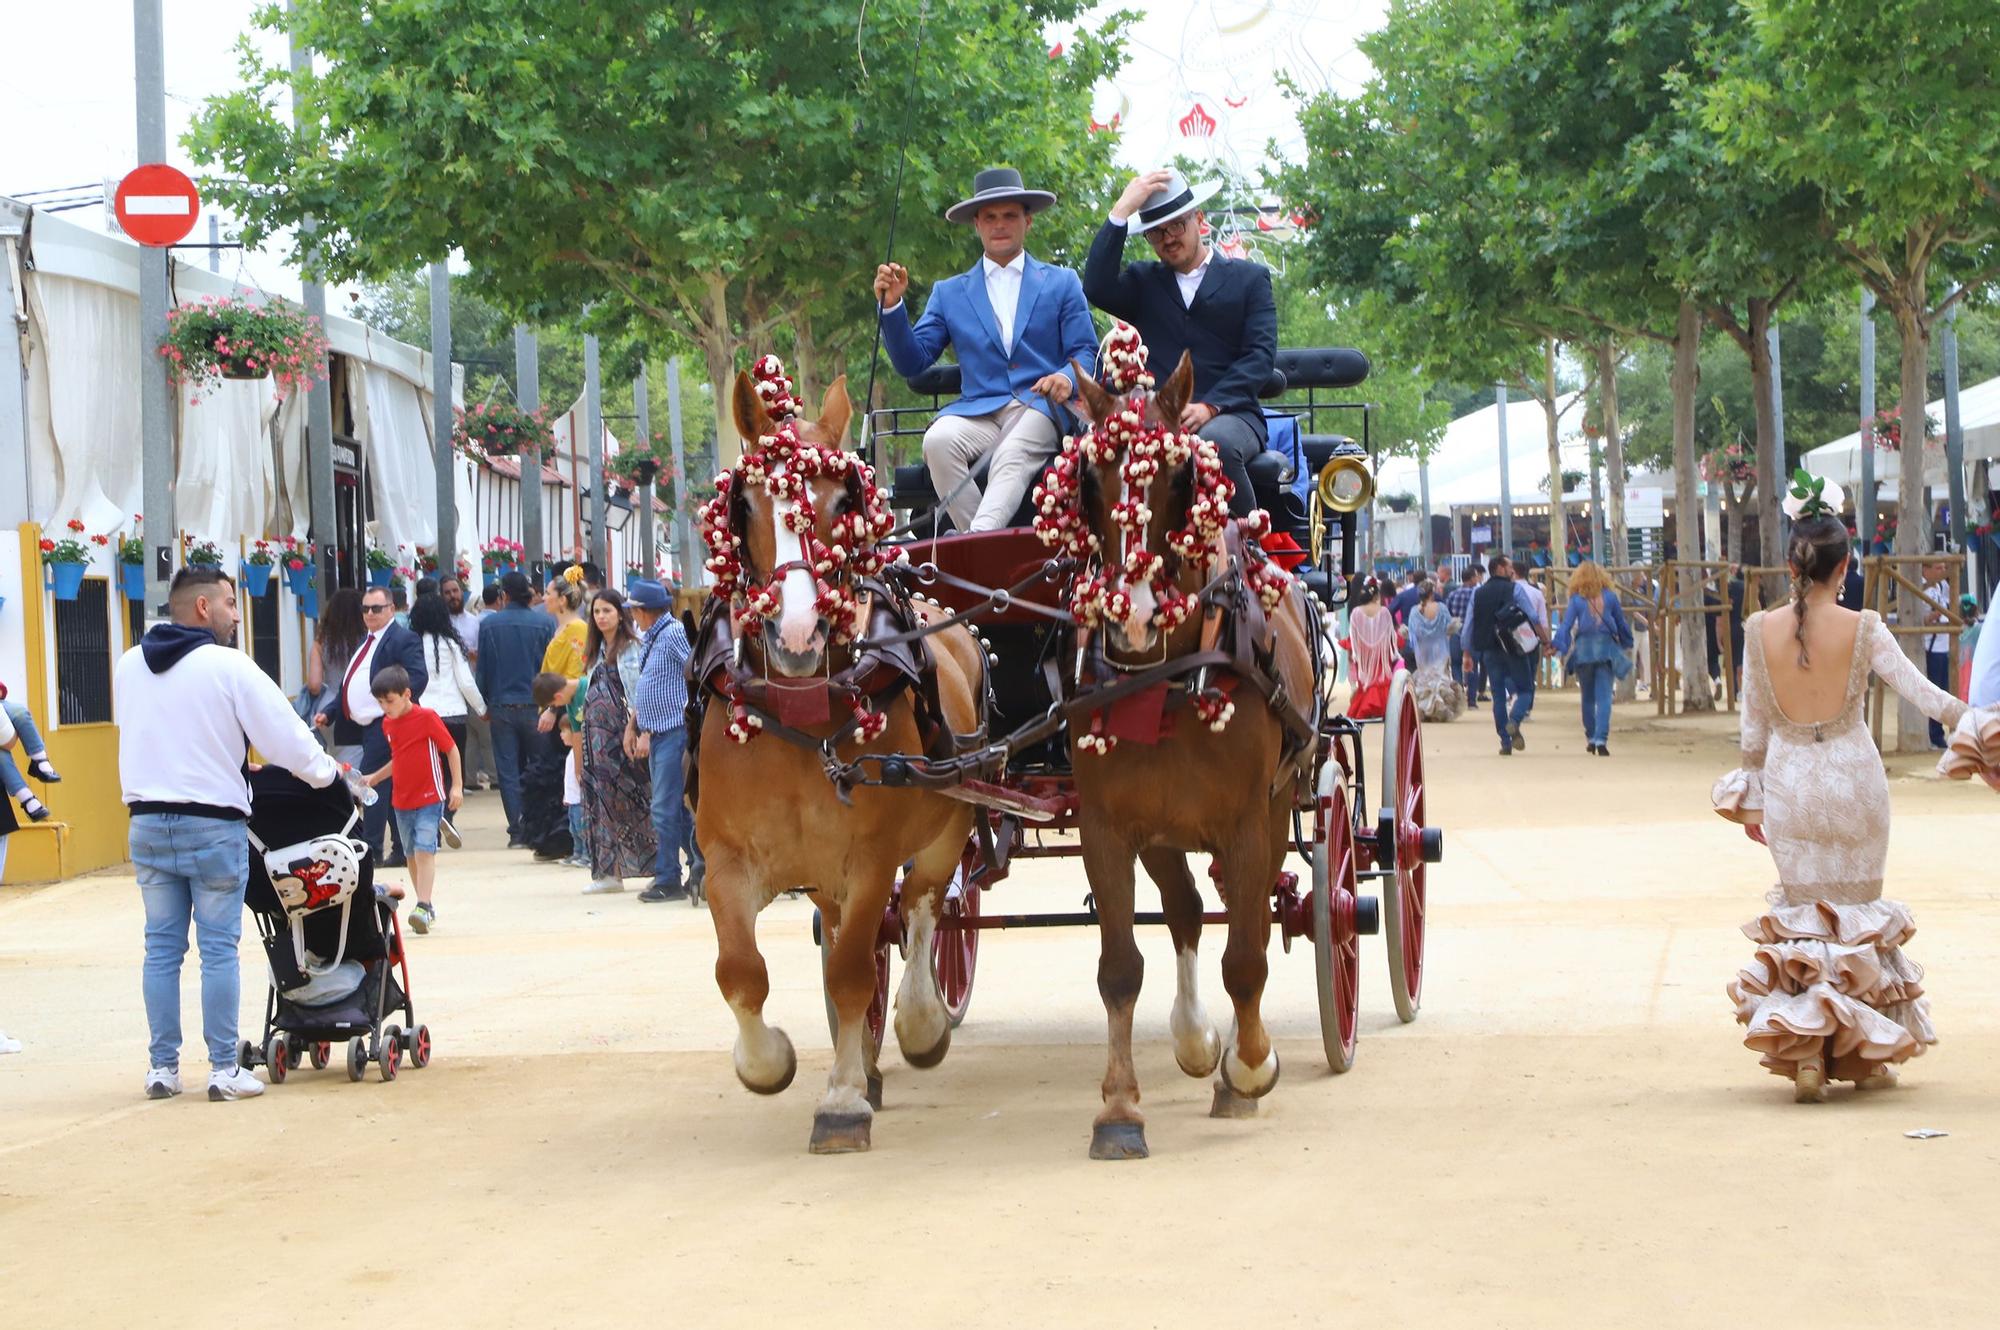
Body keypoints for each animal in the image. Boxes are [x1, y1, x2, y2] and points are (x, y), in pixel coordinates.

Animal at [692, 360, 988, 1152]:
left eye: (843, 501)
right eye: (744, 505)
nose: (796, 635)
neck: (801, 705)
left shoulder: (871, 855)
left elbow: (855, 969)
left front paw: (844, 1100)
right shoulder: (726, 856)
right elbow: (741, 971)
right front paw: (769, 1063)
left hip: (949, 819)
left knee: (926, 909)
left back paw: (918, 1024)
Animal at [1056, 326, 1320, 1160]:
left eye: (1180, 475)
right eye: (1088, 478)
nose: (1133, 615)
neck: (1168, 676)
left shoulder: (1246, 819)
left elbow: (1247, 955)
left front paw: (1250, 1069)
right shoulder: (1109, 827)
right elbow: (1119, 967)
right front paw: (1119, 1108)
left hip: (1277, 803)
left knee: (1249, 913)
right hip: (1166, 827)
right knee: (1186, 909)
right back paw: (1197, 1037)